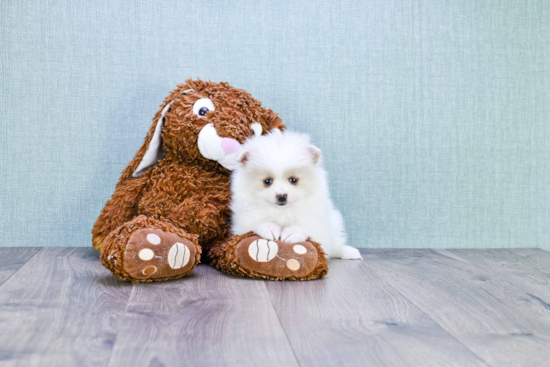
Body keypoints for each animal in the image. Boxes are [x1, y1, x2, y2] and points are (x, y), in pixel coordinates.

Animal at [231, 131, 364, 260]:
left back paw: (350, 252)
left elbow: (303, 226)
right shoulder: (244, 221)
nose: (282, 196)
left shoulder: (315, 220)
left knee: (335, 247)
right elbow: (259, 222)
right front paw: (270, 229)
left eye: (293, 180)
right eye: (267, 181)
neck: (282, 211)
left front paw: (291, 233)